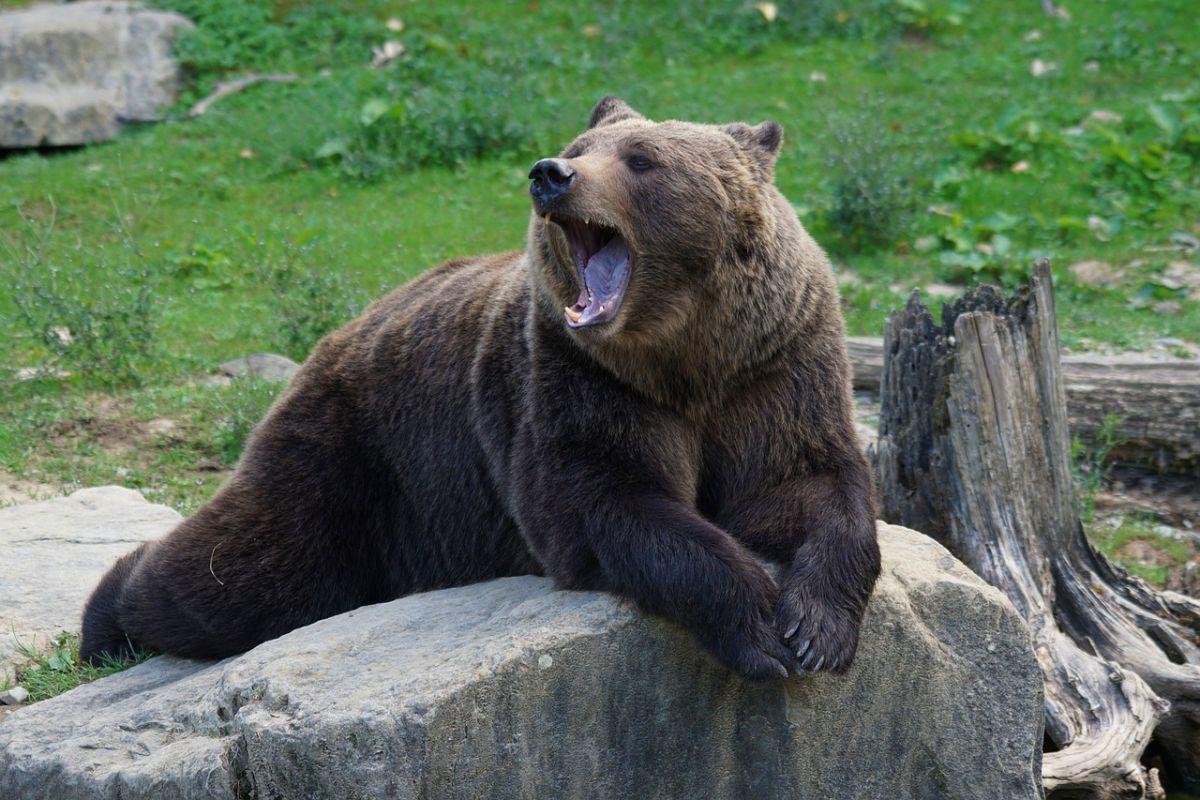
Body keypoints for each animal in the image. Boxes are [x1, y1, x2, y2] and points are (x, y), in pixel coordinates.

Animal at [79, 97, 878, 681]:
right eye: (581, 146)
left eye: (642, 158)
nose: (551, 173)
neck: (683, 356)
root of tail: (338, 334)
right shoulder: (576, 381)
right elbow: (609, 502)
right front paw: (760, 629)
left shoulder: (775, 366)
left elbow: (809, 483)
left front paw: (816, 630)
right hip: (360, 459)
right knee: (248, 573)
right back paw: (106, 620)